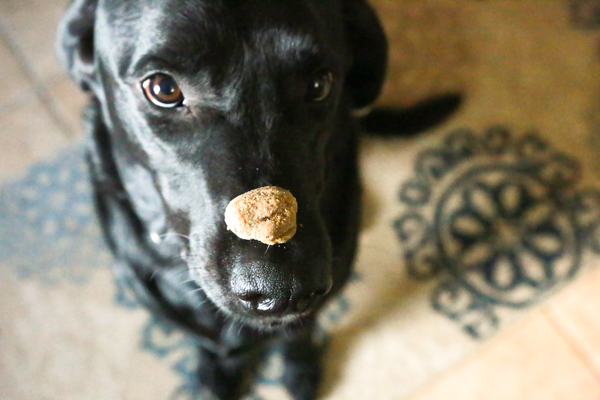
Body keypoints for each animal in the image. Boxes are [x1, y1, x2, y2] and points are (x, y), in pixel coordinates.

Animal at [55, 0, 384, 398]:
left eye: (319, 85)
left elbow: (299, 334)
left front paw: (300, 366)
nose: (285, 292)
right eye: (163, 88)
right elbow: (214, 343)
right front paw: (218, 374)